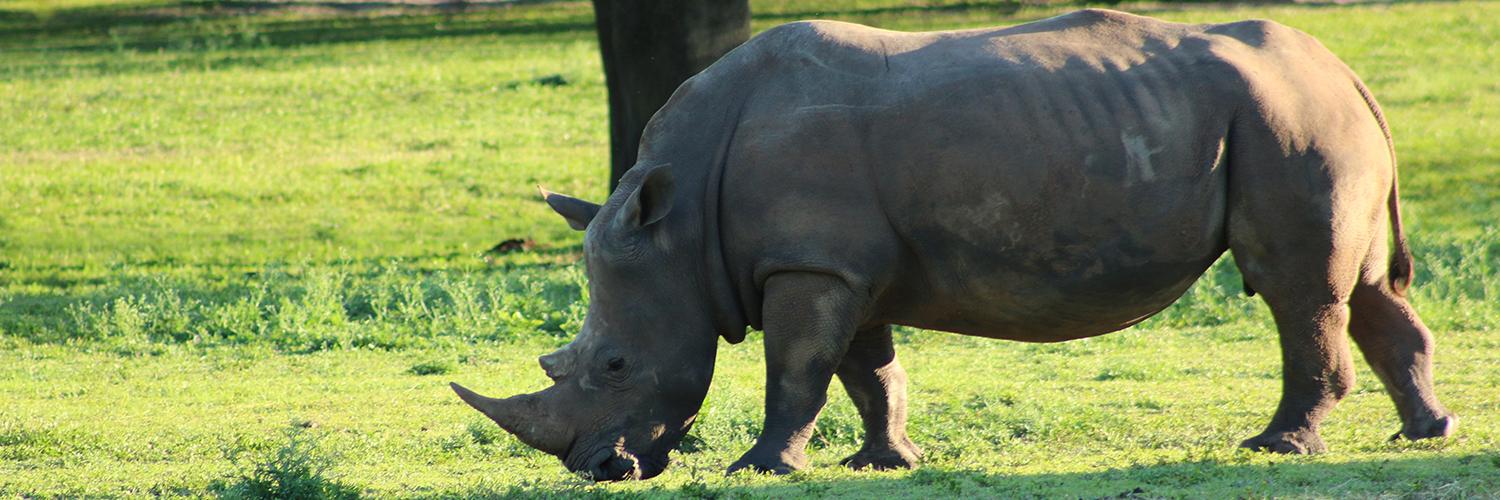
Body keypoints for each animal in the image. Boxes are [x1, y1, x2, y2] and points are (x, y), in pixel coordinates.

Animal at [450, 9, 1457, 480]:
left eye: (614, 364)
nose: (598, 470)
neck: (682, 218)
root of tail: (1343, 70)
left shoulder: (808, 263)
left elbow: (796, 371)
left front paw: (763, 467)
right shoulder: (843, 263)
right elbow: (864, 368)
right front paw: (884, 463)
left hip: (1288, 120)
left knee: (1296, 288)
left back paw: (1277, 448)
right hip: (1301, 116)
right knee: (1365, 289)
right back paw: (1426, 432)